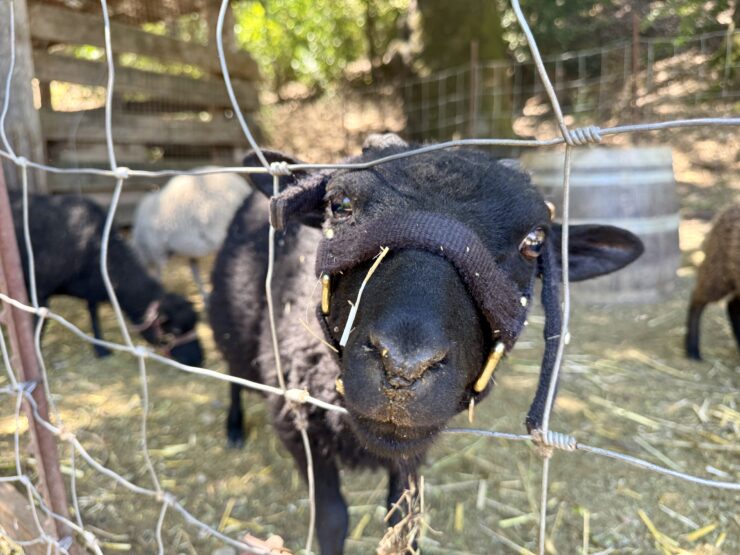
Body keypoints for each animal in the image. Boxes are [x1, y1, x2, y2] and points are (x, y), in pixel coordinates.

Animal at [9, 190, 203, 366]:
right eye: (174, 330)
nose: (199, 360)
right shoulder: (40, 292)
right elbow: (38, 325)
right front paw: (35, 358)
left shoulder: (92, 287)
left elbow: (93, 314)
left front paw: (101, 349)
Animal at [208, 136, 643, 554]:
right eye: (340, 205)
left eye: (534, 241)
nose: (403, 367)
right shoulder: (296, 424)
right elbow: (332, 518)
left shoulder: (413, 451)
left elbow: (404, 519)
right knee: (233, 376)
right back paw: (234, 427)